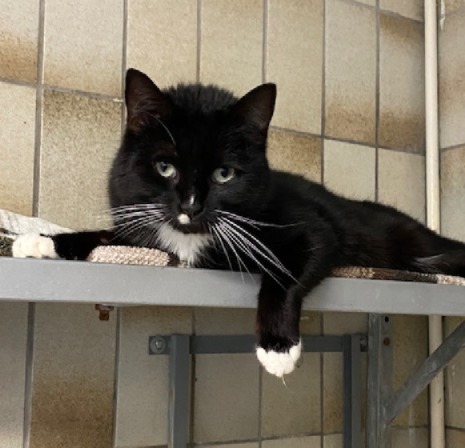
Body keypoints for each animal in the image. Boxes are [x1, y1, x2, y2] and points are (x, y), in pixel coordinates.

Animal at [13, 68, 465, 377]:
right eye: (164, 167)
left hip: (409, 240)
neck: (190, 237)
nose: (191, 207)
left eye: (224, 175)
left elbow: (286, 272)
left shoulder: (312, 228)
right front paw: (40, 241)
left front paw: (278, 347)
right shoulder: (143, 230)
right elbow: (109, 237)